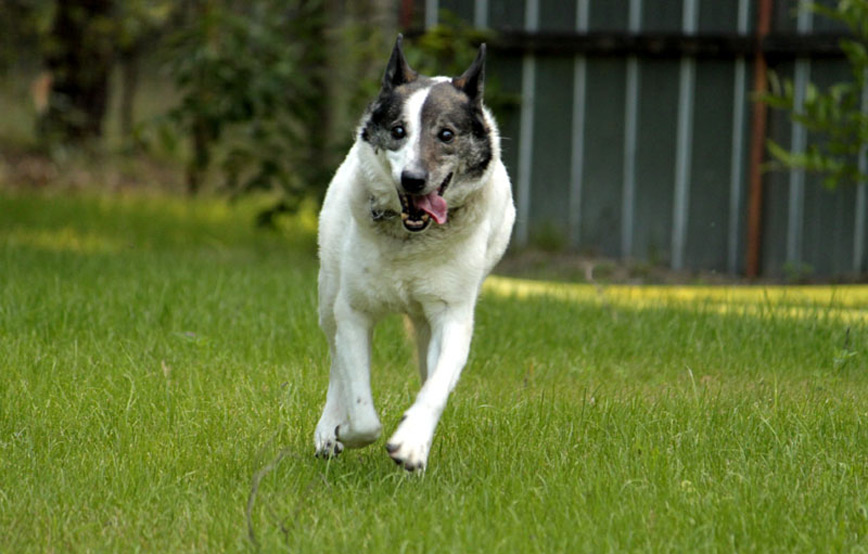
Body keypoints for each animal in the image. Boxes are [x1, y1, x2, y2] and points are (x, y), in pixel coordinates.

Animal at [314, 34, 512, 468]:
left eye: (447, 135)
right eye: (398, 130)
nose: (413, 179)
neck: (412, 239)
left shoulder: (453, 315)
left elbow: (436, 386)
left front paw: (411, 442)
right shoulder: (353, 309)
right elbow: (360, 407)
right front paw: (345, 432)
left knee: (426, 369)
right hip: (327, 292)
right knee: (336, 362)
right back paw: (327, 429)